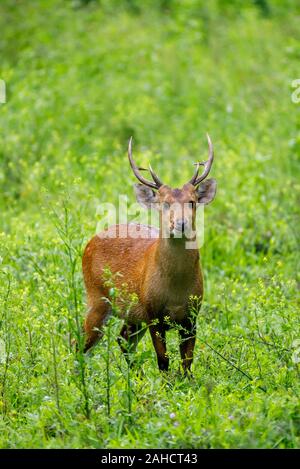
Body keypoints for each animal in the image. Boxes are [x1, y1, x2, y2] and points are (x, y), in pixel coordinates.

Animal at [81, 134, 217, 372]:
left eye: (192, 201)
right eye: (164, 203)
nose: (180, 223)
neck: (175, 292)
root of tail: (90, 242)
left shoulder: (192, 315)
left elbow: (187, 362)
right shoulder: (153, 313)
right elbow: (163, 361)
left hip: (132, 315)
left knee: (122, 339)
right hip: (96, 296)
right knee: (80, 341)